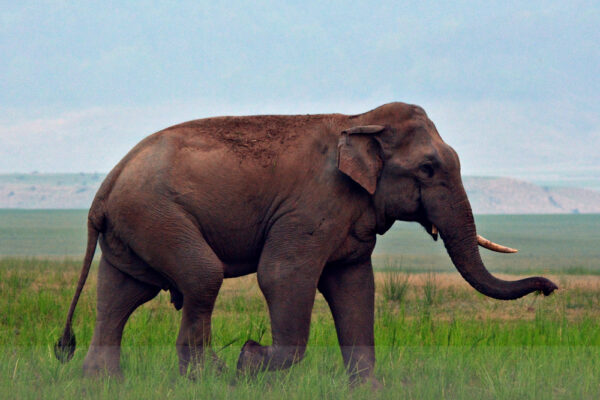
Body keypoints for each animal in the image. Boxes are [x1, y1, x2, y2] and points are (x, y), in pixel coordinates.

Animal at [56, 102, 556, 384]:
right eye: (428, 169)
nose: (550, 287)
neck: (359, 121)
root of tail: (106, 186)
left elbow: (355, 288)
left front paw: (367, 391)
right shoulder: (311, 207)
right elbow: (283, 276)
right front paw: (248, 361)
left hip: (134, 224)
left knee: (122, 293)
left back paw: (103, 385)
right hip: (154, 213)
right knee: (201, 277)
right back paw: (205, 378)